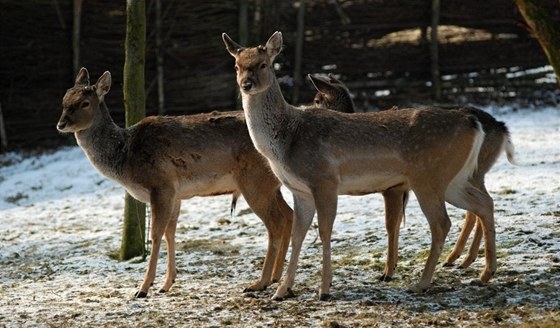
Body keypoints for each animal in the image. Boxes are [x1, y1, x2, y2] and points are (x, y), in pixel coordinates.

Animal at [56, 68, 296, 298]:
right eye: (64, 99)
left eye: (85, 103)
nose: (61, 124)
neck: (126, 157)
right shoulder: (176, 194)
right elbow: (170, 233)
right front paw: (166, 284)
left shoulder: (160, 185)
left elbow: (155, 234)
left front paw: (143, 288)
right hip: (271, 185)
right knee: (288, 214)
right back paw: (276, 277)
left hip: (254, 181)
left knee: (275, 222)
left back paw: (260, 283)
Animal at [310, 75, 516, 278]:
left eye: (317, 99)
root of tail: (502, 128)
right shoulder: (401, 188)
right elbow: (397, 222)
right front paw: (393, 266)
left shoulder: (392, 188)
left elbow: (391, 224)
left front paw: (387, 272)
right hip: (470, 174)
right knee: (481, 204)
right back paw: (462, 260)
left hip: (471, 172)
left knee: (477, 206)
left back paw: (460, 260)